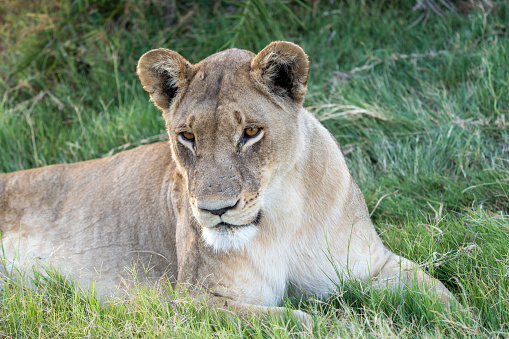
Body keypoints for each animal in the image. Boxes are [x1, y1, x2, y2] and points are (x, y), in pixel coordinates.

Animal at [0, 41, 452, 326]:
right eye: (187, 136)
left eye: (250, 132)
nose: (215, 210)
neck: (280, 218)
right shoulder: (190, 301)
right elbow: (301, 323)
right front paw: (345, 326)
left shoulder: (373, 263)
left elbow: (438, 291)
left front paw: (461, 316)